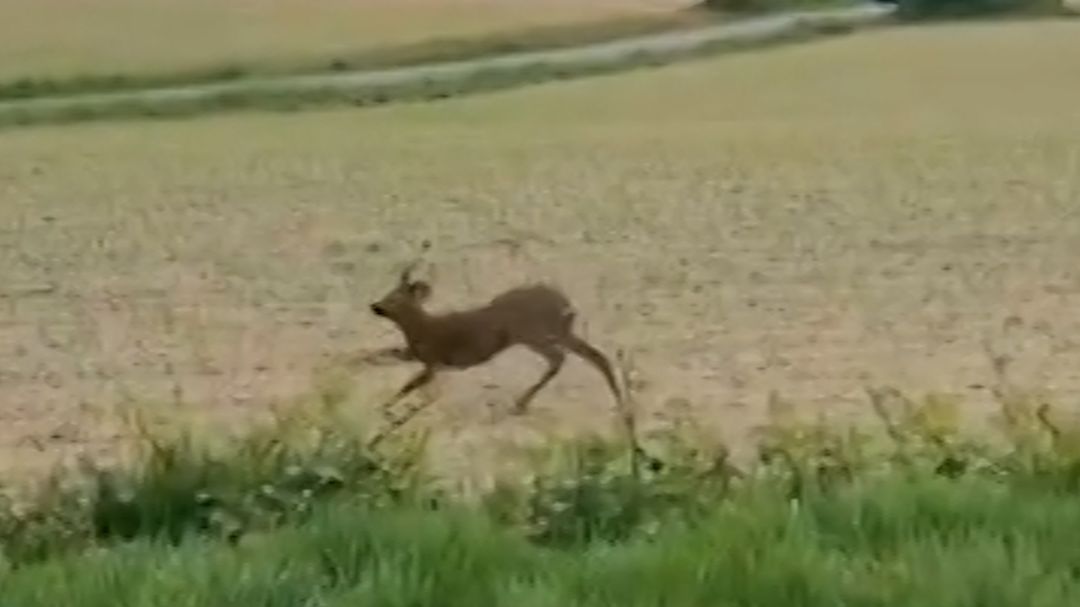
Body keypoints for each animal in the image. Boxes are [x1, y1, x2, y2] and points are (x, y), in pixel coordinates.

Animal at [367, 259, 623, 417]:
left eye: (394, 298)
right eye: (387, 294)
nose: (375, 306)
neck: (421, 329)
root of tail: (565, 303)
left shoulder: (434, 361)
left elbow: (408, 385)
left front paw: (385, 407)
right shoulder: (414, 354)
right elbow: (382, 354)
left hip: (533, 333)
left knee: (560, 358)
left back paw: (519, 404)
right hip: (556, 331)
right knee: (595, 355)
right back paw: (619, 402)